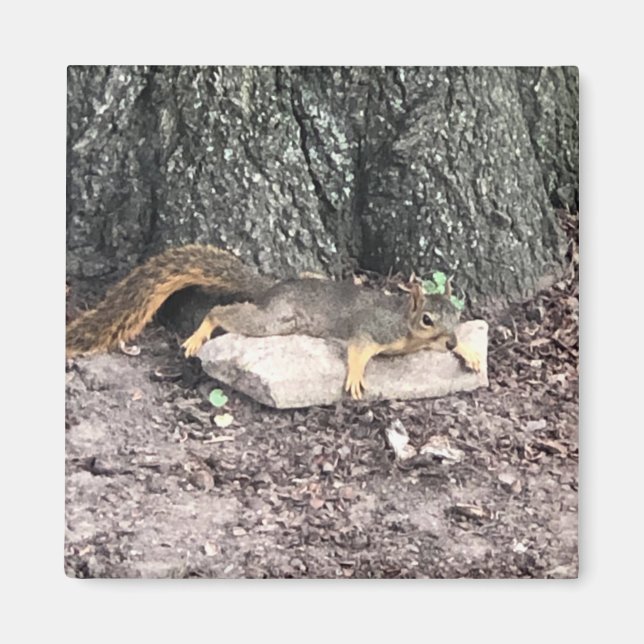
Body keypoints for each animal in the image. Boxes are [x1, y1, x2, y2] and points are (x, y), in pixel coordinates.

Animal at [66, 244, 481, 399]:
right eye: (427, 319)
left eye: (457, 315)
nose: (448, 342)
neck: (405, 324)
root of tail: (272, 288)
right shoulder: (375, 327)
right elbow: (358, 348)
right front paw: (355, 375)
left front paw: (471, 353)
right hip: (275, 320)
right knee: (221, 312)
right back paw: (198, 335)